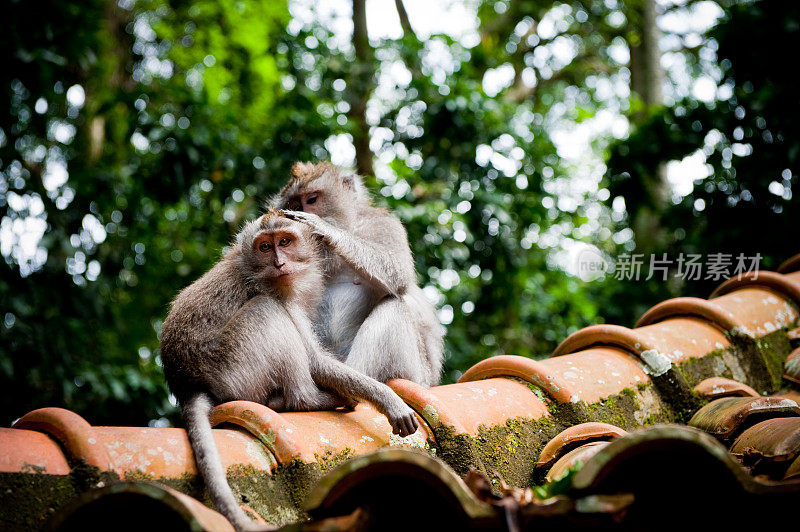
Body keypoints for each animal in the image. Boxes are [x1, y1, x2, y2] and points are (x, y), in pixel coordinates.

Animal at [158, 210, 418, 528]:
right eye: (264, 247)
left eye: (284, 241)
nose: (279, 263)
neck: (254, 268)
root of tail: (187, 385)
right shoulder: (273, 289)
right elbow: (315, 362)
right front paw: (389, 399)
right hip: (230, 366)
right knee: (266, 310)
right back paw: (309, 399)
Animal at [270, 161, 444, 386]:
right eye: (294, 204)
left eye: (312, 200)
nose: (300, 211)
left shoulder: (385, 224)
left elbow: (397, 272)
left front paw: (324, 227)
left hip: (417, 374)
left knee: (395, 307)